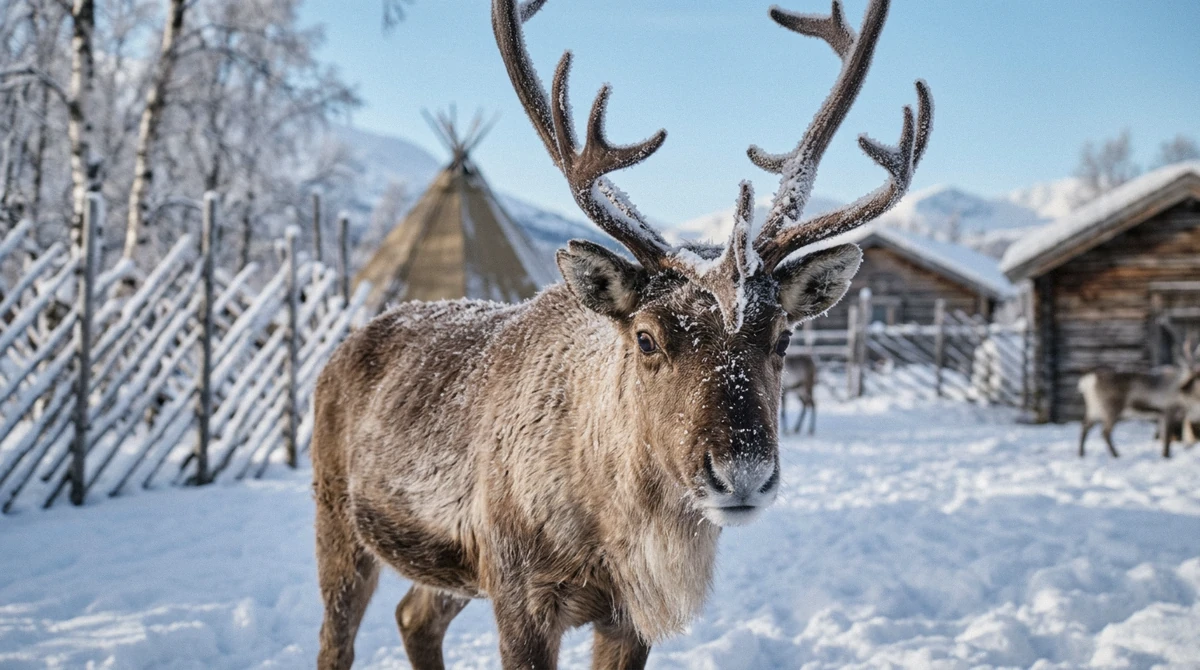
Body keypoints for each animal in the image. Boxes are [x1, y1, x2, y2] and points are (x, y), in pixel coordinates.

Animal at [311, 0, 932, 667]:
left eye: (783, 338)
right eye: (647, 338)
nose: (742, 472)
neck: (614, 533)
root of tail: (342, 351)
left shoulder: (628, 618)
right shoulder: (520, 596)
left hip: (450, 570)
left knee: (414, 616)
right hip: (338, 522)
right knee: (337, 639)